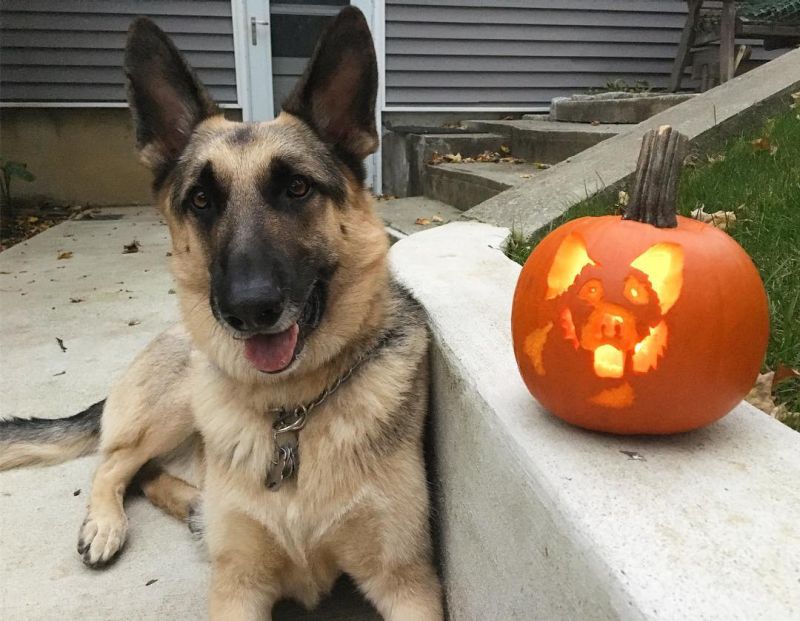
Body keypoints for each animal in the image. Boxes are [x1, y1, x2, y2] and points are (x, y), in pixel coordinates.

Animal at [0, 7, 444, 616]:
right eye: (201, 200)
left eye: (297, 188)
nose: (249, 310)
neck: (291, 414)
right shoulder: (237, 587)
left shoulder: (408, 583)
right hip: (174, 406)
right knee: (115, 463)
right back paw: (108, 523)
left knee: (147, 474)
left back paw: (192, 510)